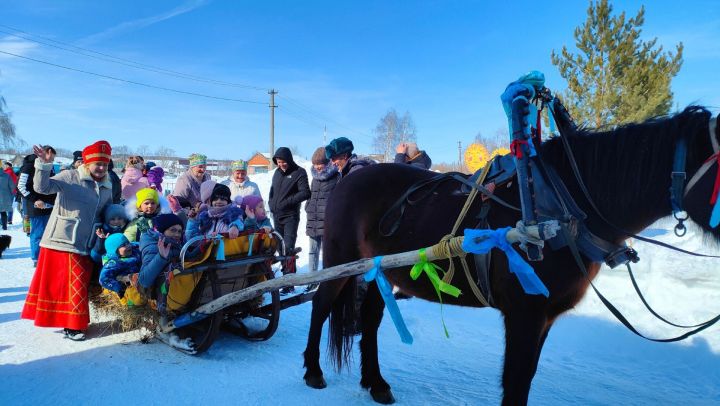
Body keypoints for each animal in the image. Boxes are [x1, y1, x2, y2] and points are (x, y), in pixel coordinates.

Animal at [302, 106, 720, 404]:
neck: (561, 207)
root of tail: (349, 177)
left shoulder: (544, 317)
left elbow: (526, 377)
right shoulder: (525, 312)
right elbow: (515, 380)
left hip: (381, 270)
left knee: (370, 321)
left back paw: (375, 382)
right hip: (340, 262)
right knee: (321, 305)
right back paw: (312, 371)